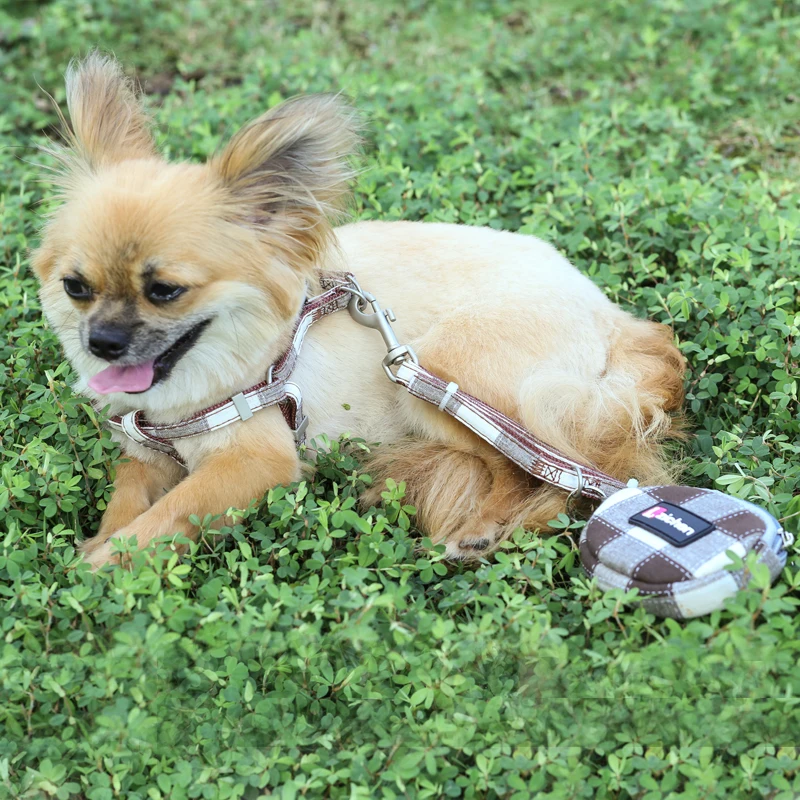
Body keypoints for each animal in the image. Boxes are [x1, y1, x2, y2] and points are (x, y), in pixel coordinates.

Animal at [29, 54, 680, 568]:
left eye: (165, 290)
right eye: (75, 287)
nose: (102, 342)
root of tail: (611, 317)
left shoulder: (253, 462)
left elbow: (166, 517)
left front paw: (97, 570)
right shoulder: (145, 455)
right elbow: (126, 502)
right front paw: (99, 543)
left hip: (442, 371)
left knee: (544, 469)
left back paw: (481, 528)